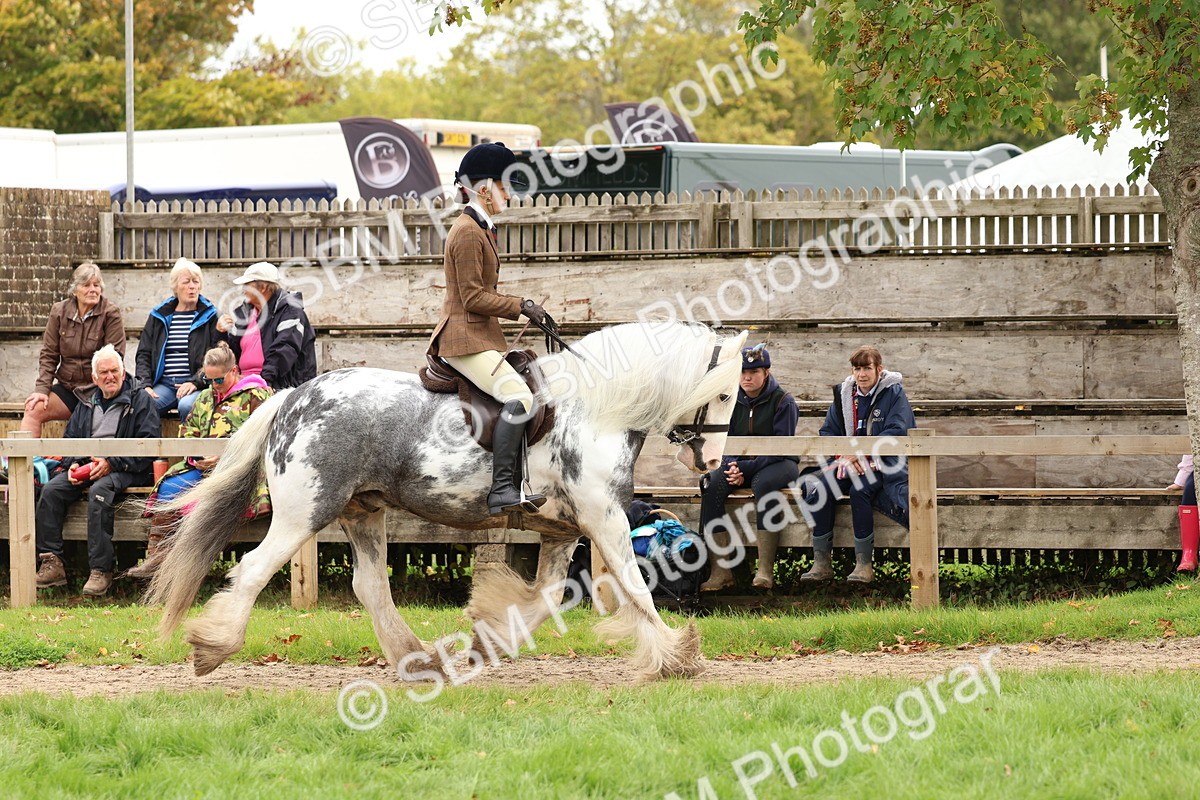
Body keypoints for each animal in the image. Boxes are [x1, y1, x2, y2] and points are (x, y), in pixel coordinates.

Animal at [147, 321, 748, 681]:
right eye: (722, 393)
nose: (711, 463)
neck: (597, 407)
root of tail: (294, 396)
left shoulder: (562, 529)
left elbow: (547, 596)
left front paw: (486, 637)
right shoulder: (605, 520)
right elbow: (633, 585)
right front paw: (676, 656)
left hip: (364, 512)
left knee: (371, 586)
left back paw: (419, 659)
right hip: (305, 512)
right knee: (252, 567)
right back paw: (212, 647)